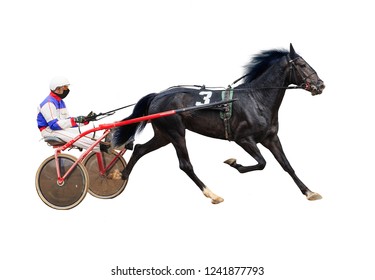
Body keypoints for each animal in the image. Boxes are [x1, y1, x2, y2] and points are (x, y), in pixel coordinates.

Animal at [112, 43, 326, 203]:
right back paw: (212, 194)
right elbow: (262, 163)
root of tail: (157, 95)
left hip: (163, 134)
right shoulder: (243, 138)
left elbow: (287, 165)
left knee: (140, 149)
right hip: (176, 132)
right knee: (185, 165)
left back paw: (121, 175)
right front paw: (234, 163)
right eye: (302, 64)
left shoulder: (270, 138)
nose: (321, 85)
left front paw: (309, 192)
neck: (256, 99)